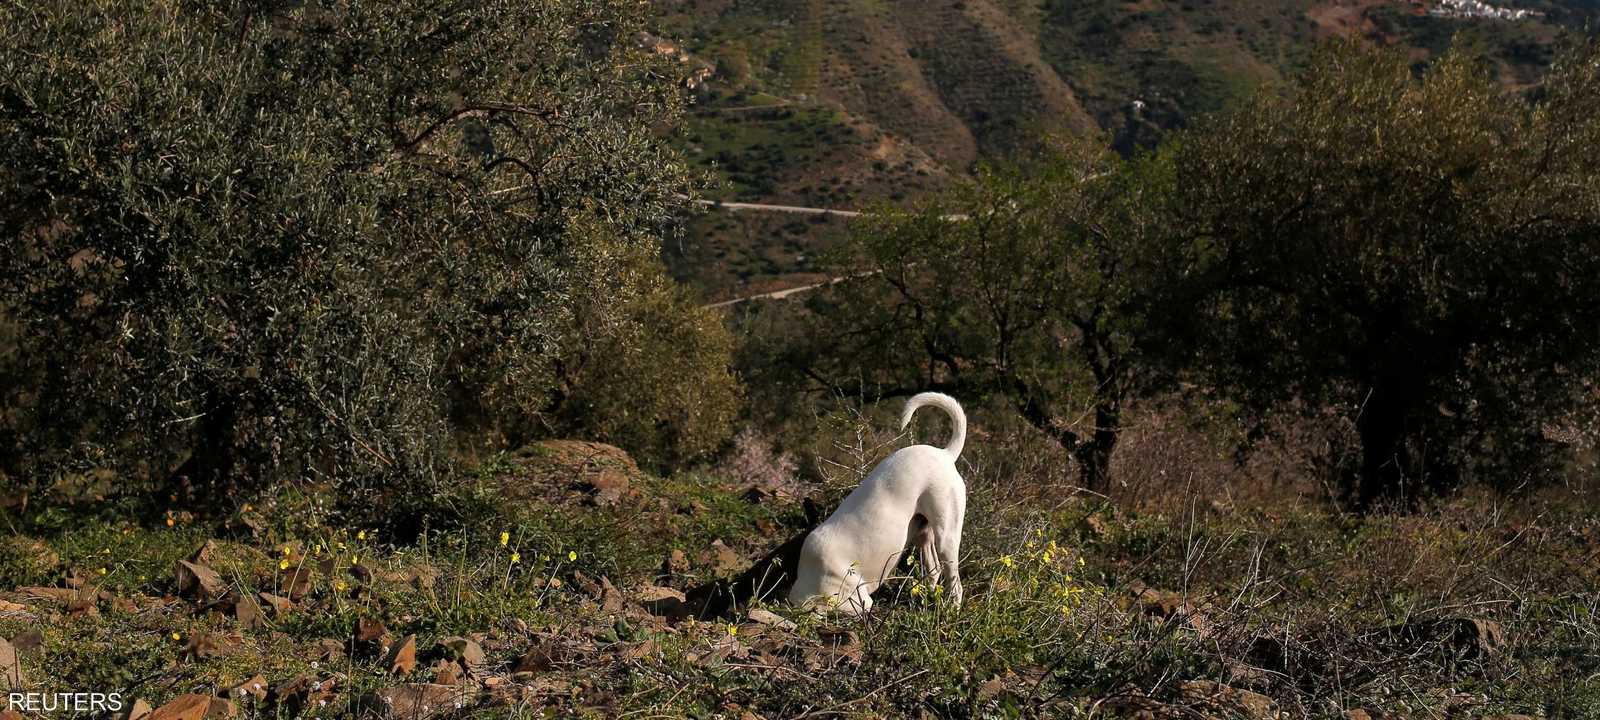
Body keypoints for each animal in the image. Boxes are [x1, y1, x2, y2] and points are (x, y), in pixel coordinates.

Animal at [790, 390, 966, 614]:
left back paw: (952, 610)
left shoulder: (859, 601)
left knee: (955, 583)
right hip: (923, 533)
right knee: (933, 570)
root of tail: (945, 454)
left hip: (946, 537)